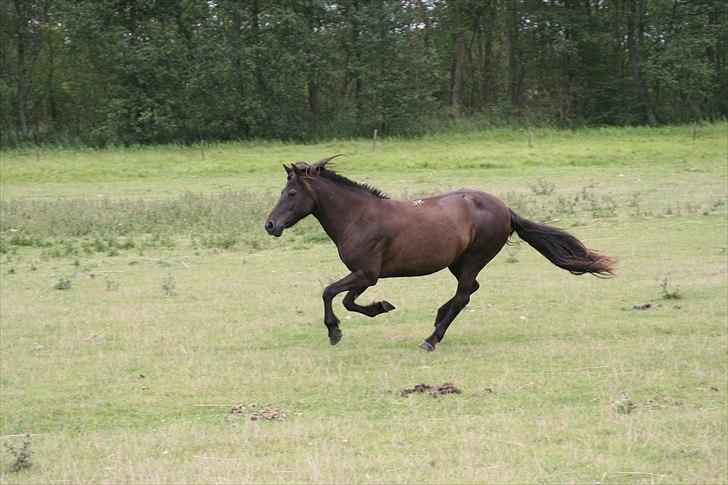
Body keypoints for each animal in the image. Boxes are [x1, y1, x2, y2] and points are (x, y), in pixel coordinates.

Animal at [264, 157, 616, 350]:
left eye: (291, 193)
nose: (270, 225)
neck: (359, 217)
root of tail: (505, 209)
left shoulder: (366, 273)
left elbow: (330, 293)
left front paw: (335, 331)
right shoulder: (367, 276)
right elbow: (349, 300)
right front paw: (381, 307)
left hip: (474, 257)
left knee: (463, 296)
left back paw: (431, 338)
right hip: (458, 262)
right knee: (469, 290)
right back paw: (437, 318)